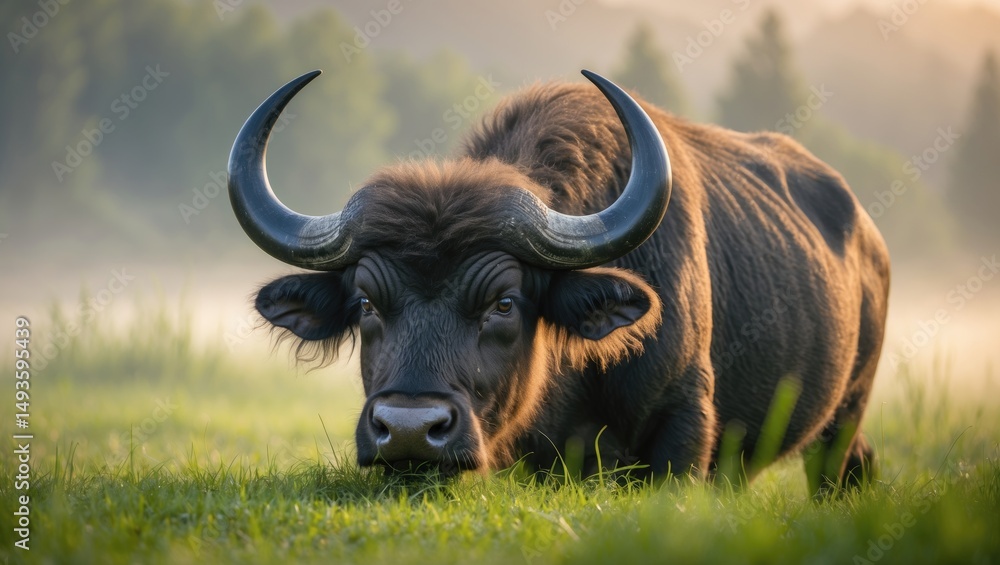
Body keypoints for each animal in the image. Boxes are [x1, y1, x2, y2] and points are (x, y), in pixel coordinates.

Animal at [228, 69, 890, 493]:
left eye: (504, 303)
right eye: (366, 301)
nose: (411, 430)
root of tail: (867, 239)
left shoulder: (687, 428)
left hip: (846, 413)